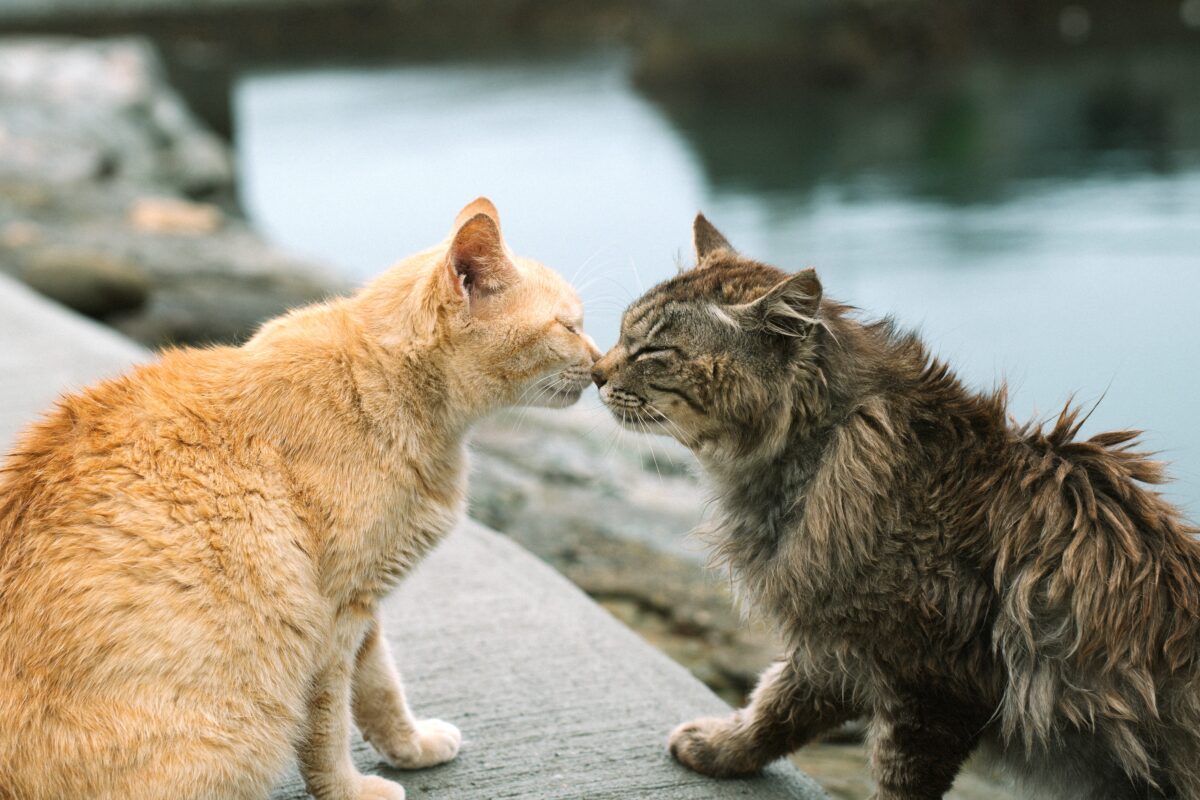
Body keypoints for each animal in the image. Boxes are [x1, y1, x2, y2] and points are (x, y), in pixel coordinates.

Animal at [0, 199, 597, 800]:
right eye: (570, 326)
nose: (598, 366)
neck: (387, 391)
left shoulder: (365, 602)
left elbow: (381, 686)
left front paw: (411, 748)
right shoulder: (333, 616)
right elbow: (326, 725)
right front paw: (351, 790)